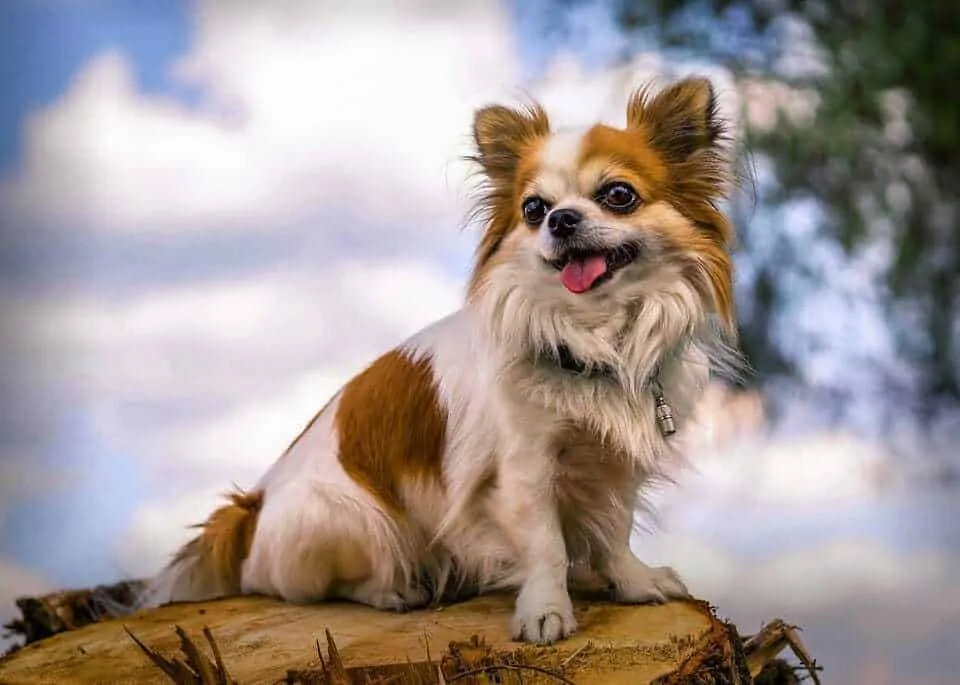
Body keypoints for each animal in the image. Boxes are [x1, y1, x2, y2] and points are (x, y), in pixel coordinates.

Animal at [146, 77, 740, 644]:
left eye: (619, 195)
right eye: (533, 210)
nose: (562, 219)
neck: (592, 340)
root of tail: (249, 514)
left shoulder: (616, 465)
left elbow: (616, 532)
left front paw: (634, 584)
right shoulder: (524, 472)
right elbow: (546, 546)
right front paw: (545, 613)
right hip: (347, 517)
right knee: (320, 588)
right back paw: (397, 590)